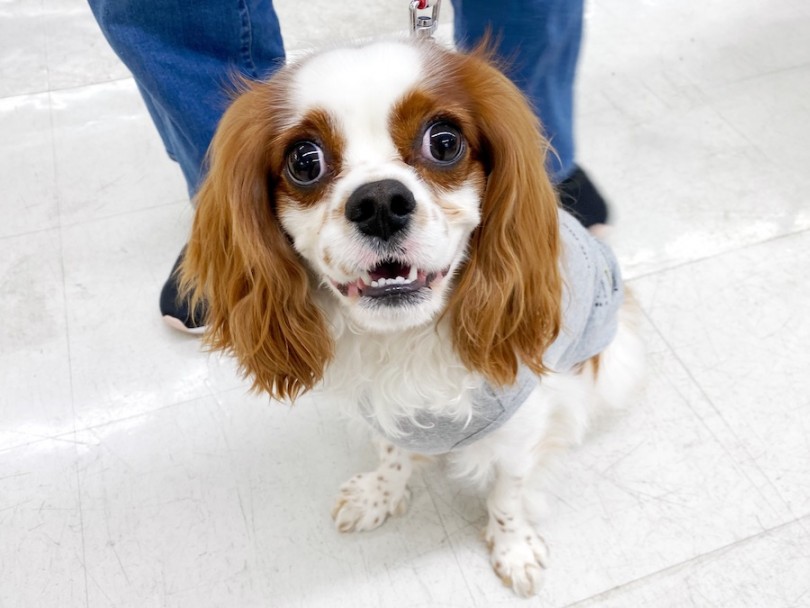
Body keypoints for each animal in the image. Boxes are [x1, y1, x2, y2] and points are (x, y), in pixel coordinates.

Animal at [180, 38, 640, 592]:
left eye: (443, 143)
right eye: (305, 161)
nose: (380, 202)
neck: (406, 340)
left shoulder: (520, 429)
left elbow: (507, 492)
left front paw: (512, 547)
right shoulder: (381, 413)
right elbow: (391, 453)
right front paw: (381, 493)